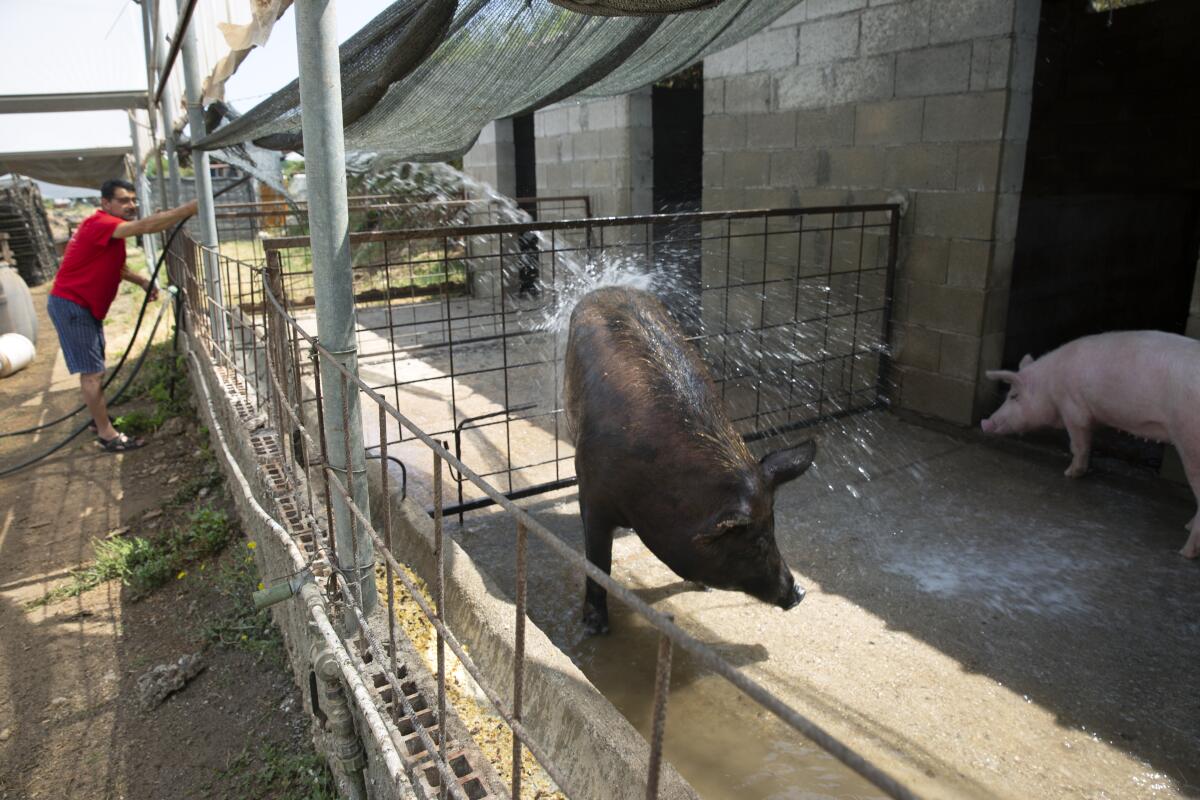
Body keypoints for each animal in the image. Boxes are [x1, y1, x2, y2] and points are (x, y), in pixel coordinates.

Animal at [564, 284, 816, 633]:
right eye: (756, 542)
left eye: (774, 528)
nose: (800, 593)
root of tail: (608, 288)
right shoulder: (593, 496)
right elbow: (599, 564)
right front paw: (595, 627)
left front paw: (704, 587)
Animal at [984, 328, 1200, 561]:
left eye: (1014, 396)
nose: (985, 422)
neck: (1050, 385)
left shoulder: (1074, 409)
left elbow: (1078, 444)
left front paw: (1070, 474)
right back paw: (1186, 527)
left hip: (1191, 442)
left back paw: (1185, 552)